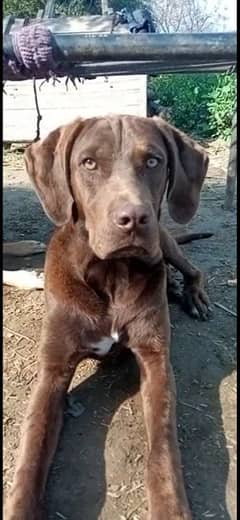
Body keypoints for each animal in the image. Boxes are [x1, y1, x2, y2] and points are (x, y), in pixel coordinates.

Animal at [5, 117, 211, 520]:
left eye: (153, 161)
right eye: (88, 163)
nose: (133, 219)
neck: (112, 276)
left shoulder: (155, 359)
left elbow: (163, 449)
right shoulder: (52, 370)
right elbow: (31, 452)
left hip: (165, 240)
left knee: (192, 270)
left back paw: (190, 294)